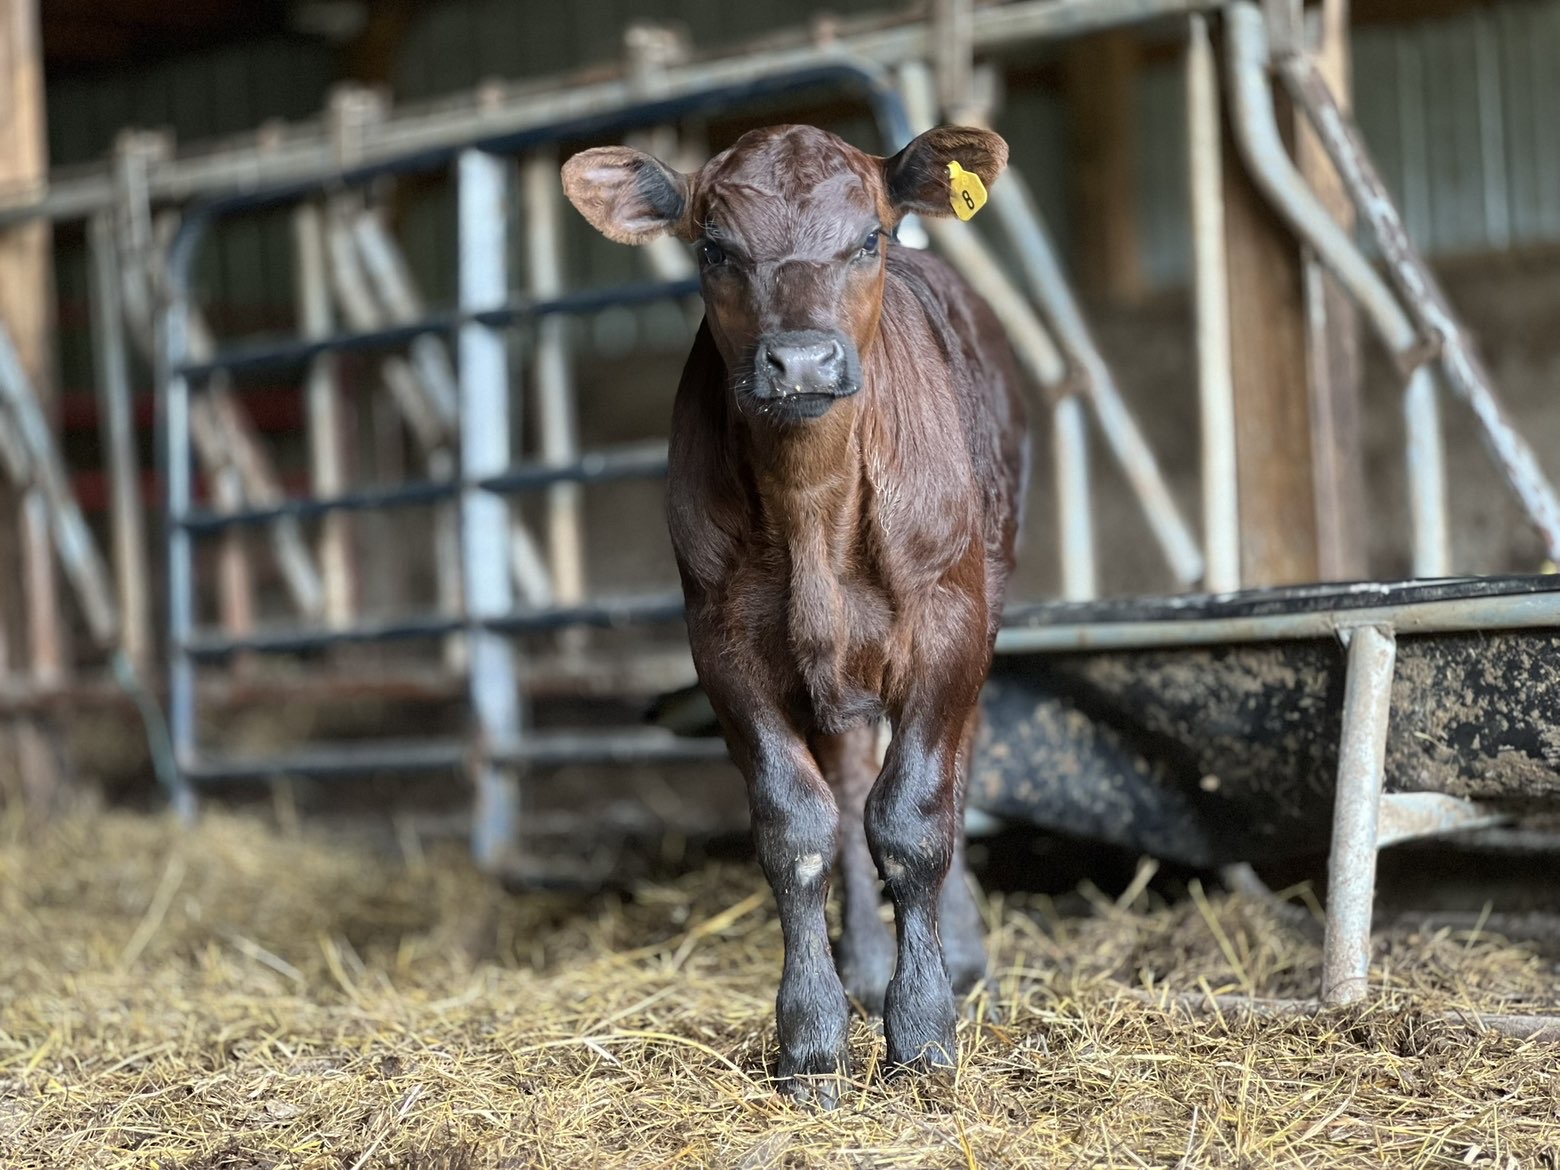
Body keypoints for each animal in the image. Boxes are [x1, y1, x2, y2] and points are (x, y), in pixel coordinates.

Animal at [563, 123, 1028, 1104]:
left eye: (869, 239)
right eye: (715, 249)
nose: (803, 361)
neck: (812, 509)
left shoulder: (949, 624)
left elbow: (917, 819)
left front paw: (924, 1034)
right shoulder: (722, 645)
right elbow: (797, 825)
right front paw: (813, 1040)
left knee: (950, 774)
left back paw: (962, 959)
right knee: (849, 785)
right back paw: (864, 967)